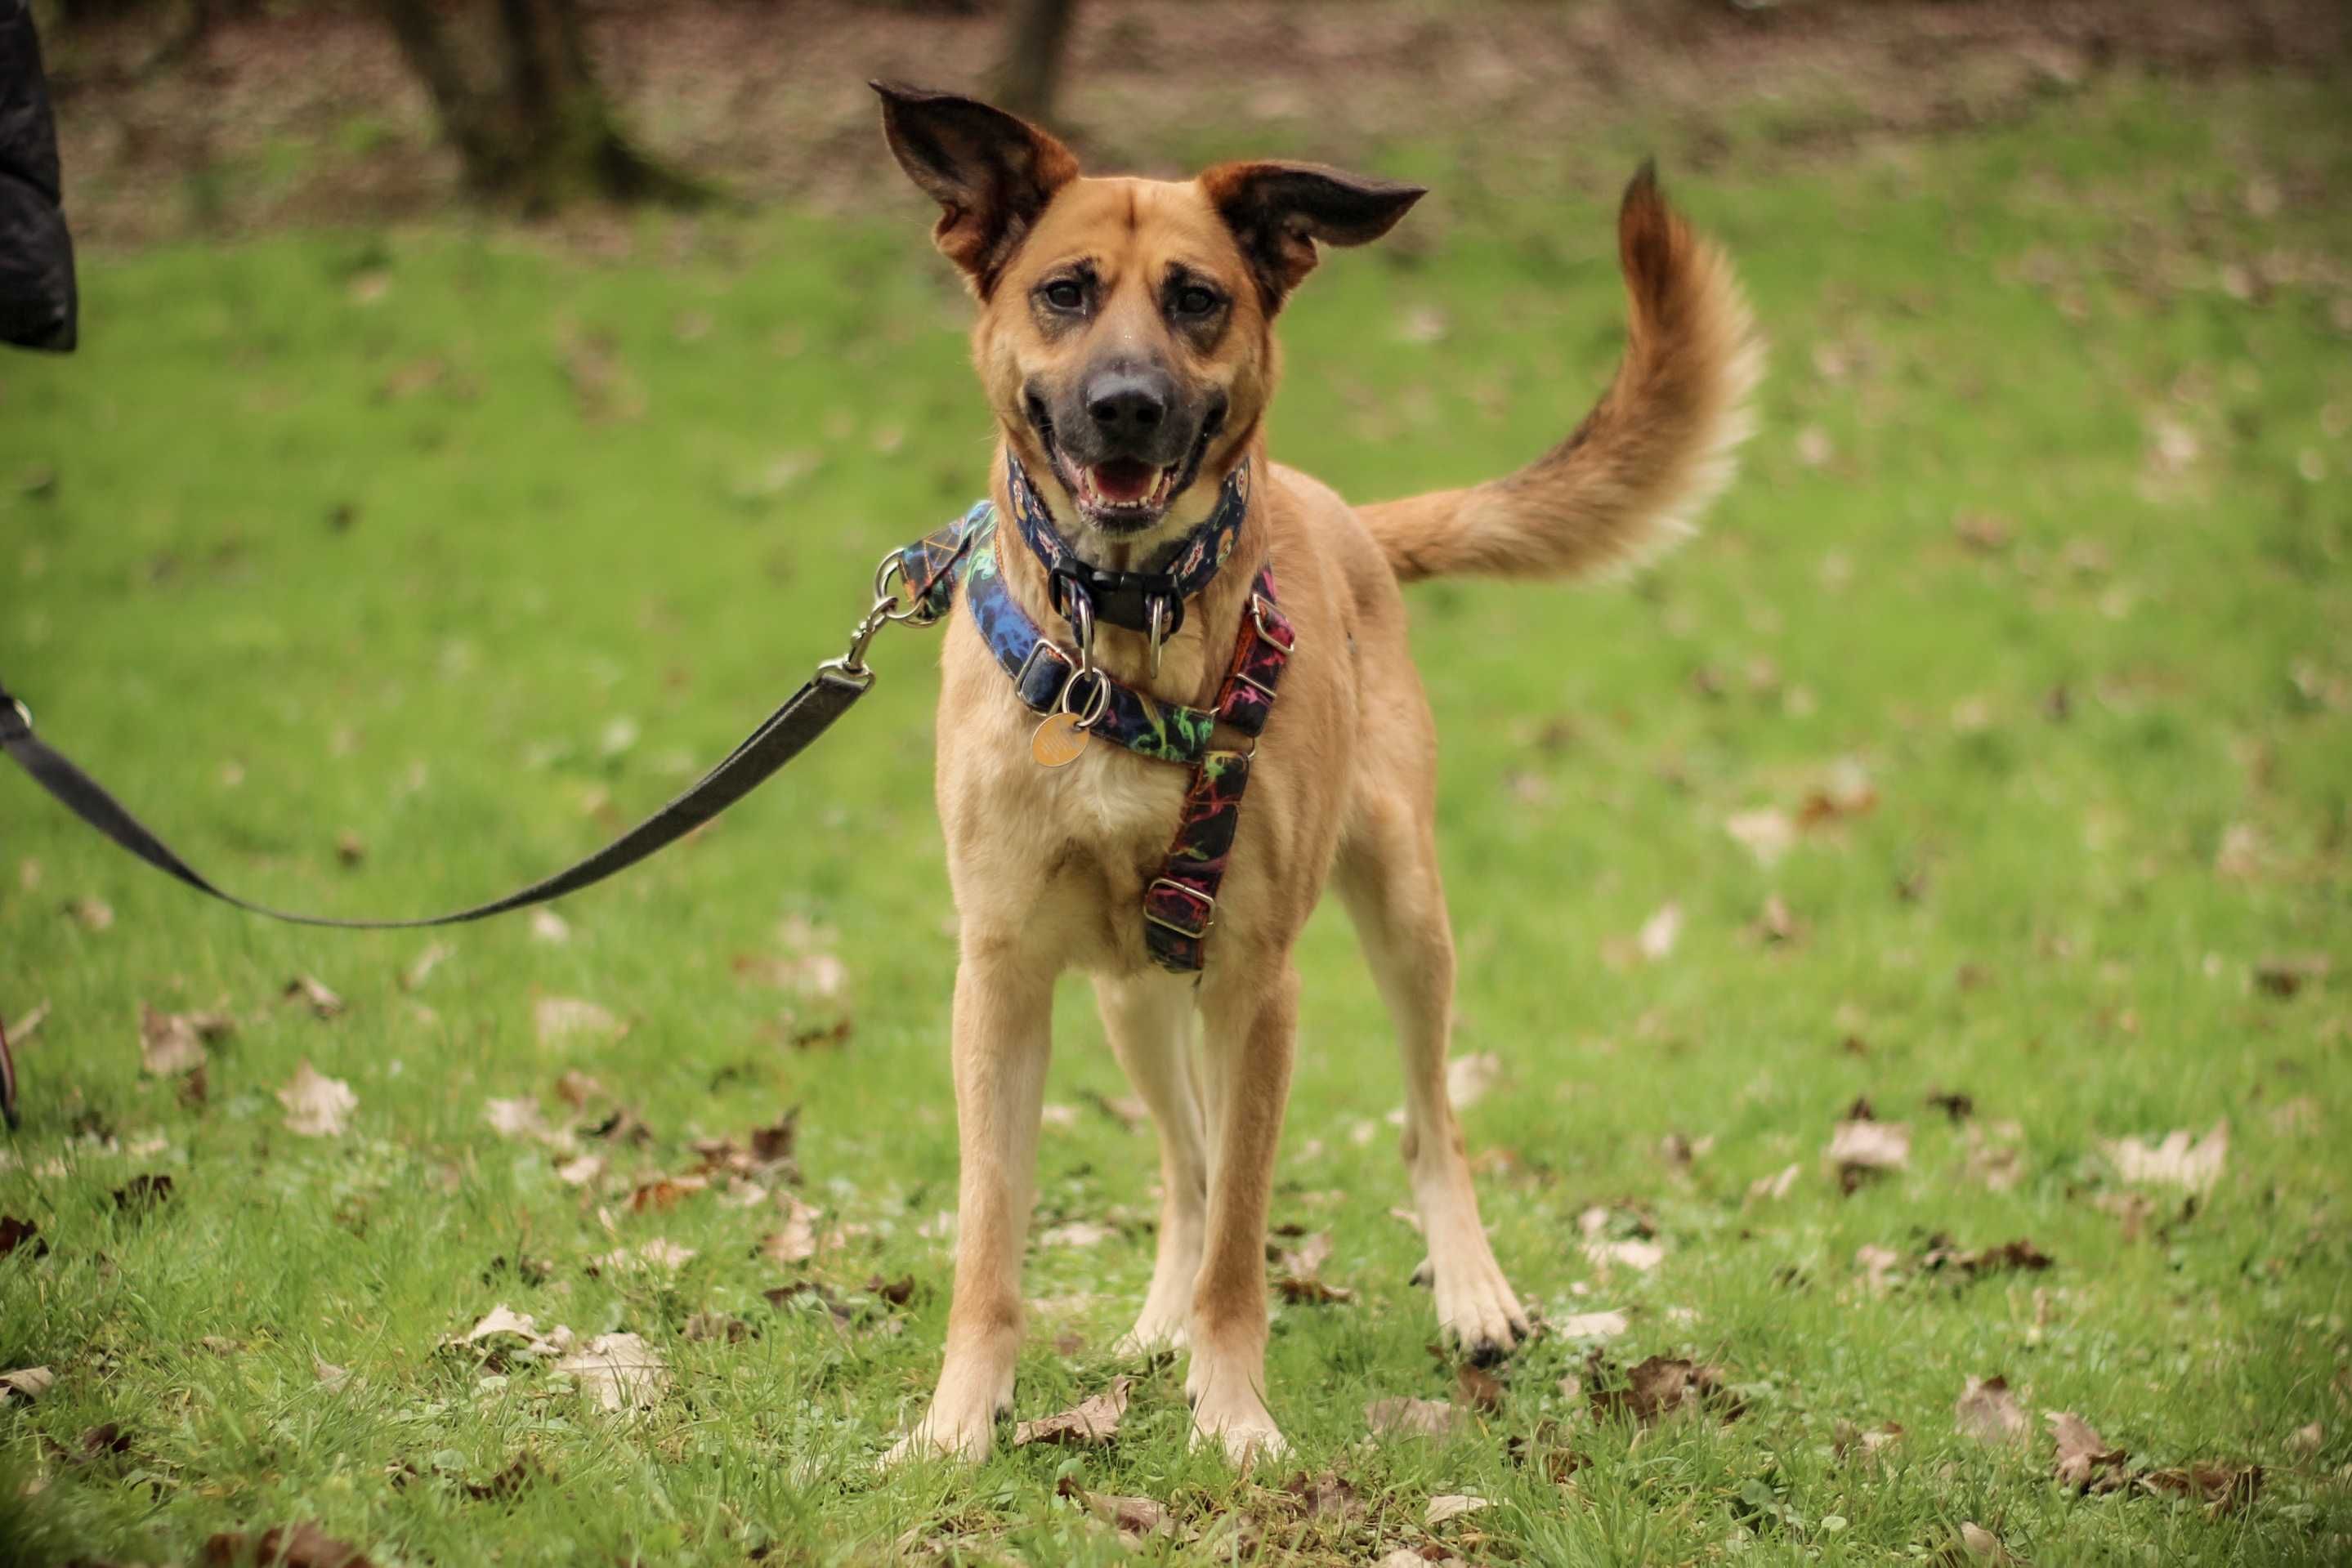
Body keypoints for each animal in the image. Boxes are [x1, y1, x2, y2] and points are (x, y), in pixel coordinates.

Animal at [874, 79, 1759, 1467]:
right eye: (1065, 290)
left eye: (1196, 298)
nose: (1125, 404)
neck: (1124, 631)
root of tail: (1341, 510)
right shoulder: (1003, 975)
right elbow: (992, 1234)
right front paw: (960, 1420)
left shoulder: (1256, 983)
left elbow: (1246, 1238)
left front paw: (1233, 1415)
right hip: (1130, 995)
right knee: (1182, 1166)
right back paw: (1157, 1319)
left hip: (1405, 908)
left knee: (1426, 1118)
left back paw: (1470, 1291)